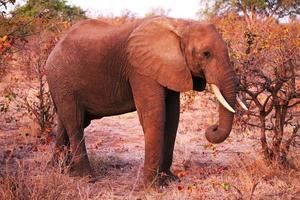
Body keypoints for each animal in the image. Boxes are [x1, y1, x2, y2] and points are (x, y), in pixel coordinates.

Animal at [44, 16, 246, 186]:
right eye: (206, 54)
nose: (212, 128)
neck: (180, 24)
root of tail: (54, 48)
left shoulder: (170, 68)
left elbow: (172, 118)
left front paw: (169, 179)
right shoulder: (140, 69)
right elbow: (154, 116)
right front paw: (151, 186)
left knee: (65, 122)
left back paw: (58, 170)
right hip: (61, 79)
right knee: (75, 122)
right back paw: (88, 178)